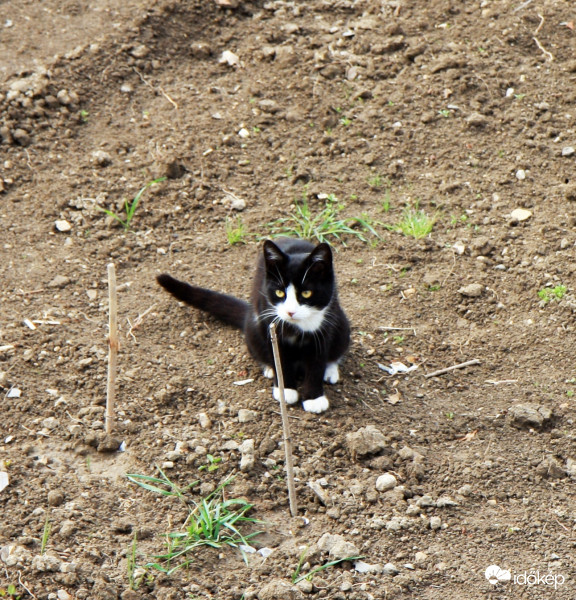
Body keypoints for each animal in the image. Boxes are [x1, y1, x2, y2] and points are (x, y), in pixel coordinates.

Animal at [155, 238, 348, 412]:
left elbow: (316, 362)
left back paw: (330, 371)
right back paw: (270, 369)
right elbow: (279, 357)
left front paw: (314, 399)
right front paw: (285, 389)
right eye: (279, 292)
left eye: (307, 293)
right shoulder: (268, 322)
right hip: (253, 327)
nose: (290, 312)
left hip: (341, 323)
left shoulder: (324, 327)